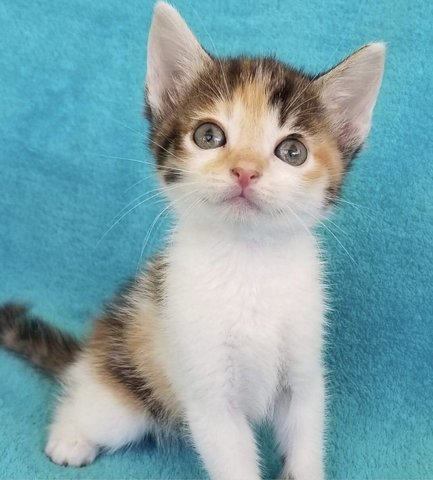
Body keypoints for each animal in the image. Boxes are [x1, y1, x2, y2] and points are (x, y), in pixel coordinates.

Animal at [0, 1, 384, 478]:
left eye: (292, 151)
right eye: (209, 136)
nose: (245, 171)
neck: (249, 260)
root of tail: (92, 354)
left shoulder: (303, 371)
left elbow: (306, 438)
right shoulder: (207, 391)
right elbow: (233, 458)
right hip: (126, 393)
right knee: (89, 404)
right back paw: (69, 438)